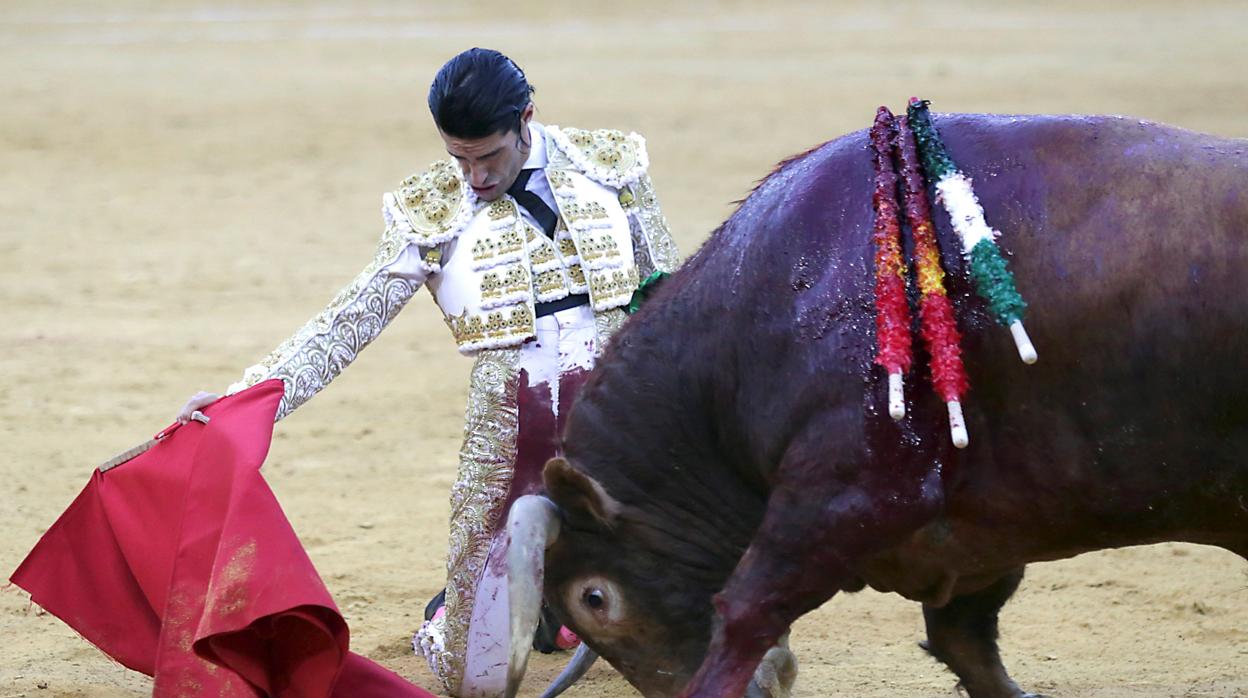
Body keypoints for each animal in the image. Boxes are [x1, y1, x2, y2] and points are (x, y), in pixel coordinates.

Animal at [506, 114, 1248, 698]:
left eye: (594, 599)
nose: (771, 685)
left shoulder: (850, 494)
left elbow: (746, 611)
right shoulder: (983, 530)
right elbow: (966, 646)